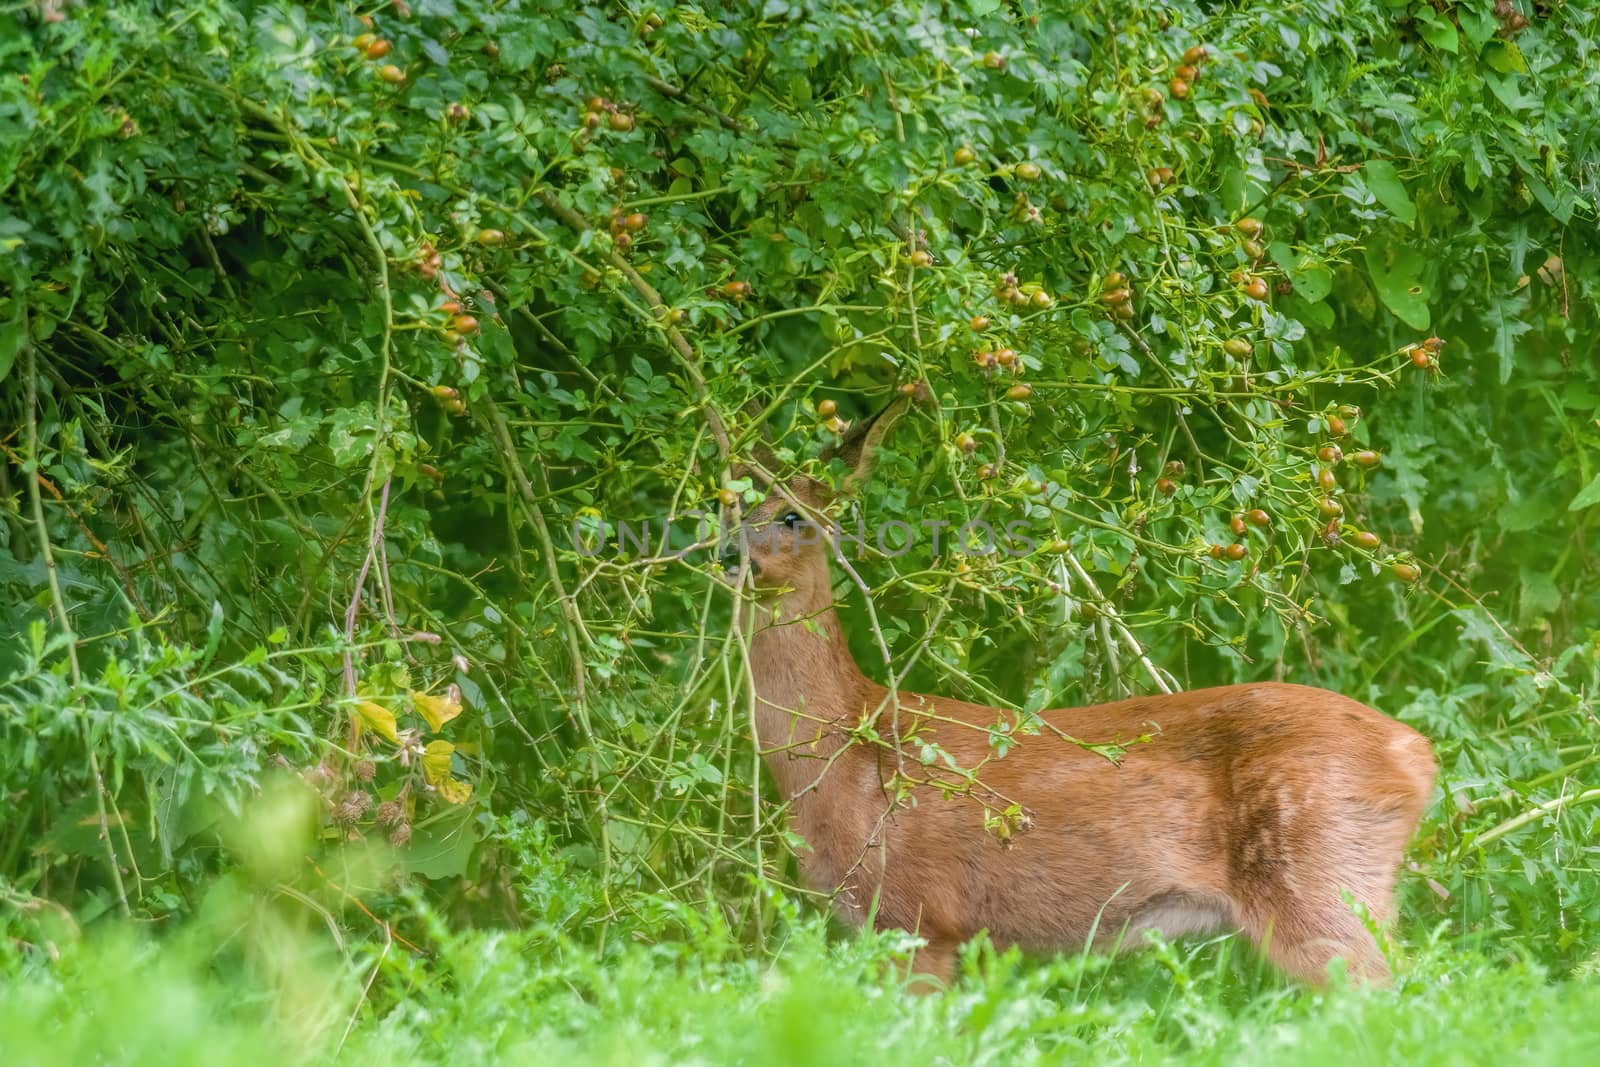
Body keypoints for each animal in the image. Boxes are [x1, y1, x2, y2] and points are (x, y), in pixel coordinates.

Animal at [723, 398, 1440, 991]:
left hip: (1321, 881)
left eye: (792, 516)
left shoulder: (916, 914)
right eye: (727, 505)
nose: (730, 554)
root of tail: (1416, 753)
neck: (843, 750)